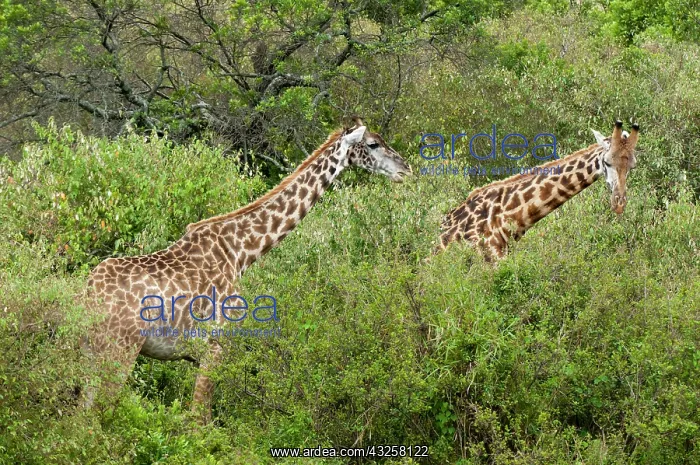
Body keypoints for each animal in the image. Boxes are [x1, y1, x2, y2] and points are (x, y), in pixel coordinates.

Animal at [82, 119, 411, 421]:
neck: (241, 252)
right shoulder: (216, 347)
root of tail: (88, 294)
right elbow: (199, 422)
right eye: (373, 144)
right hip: (120, 349)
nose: (406, 170)